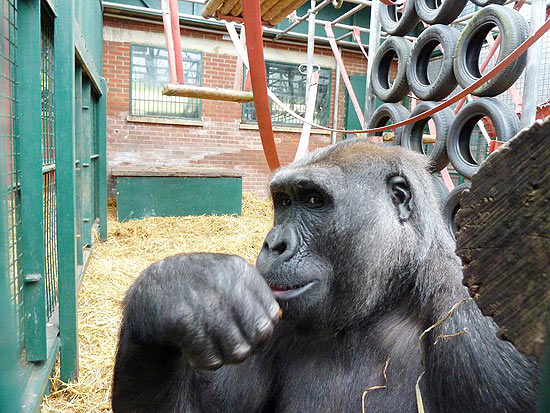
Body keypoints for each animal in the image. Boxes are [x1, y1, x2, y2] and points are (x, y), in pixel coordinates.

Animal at [112, 140, 540, 410]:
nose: (274, 243)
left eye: (314, 200)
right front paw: (180, 290)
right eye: (283, 202)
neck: (388, 297)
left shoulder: (477, 324)